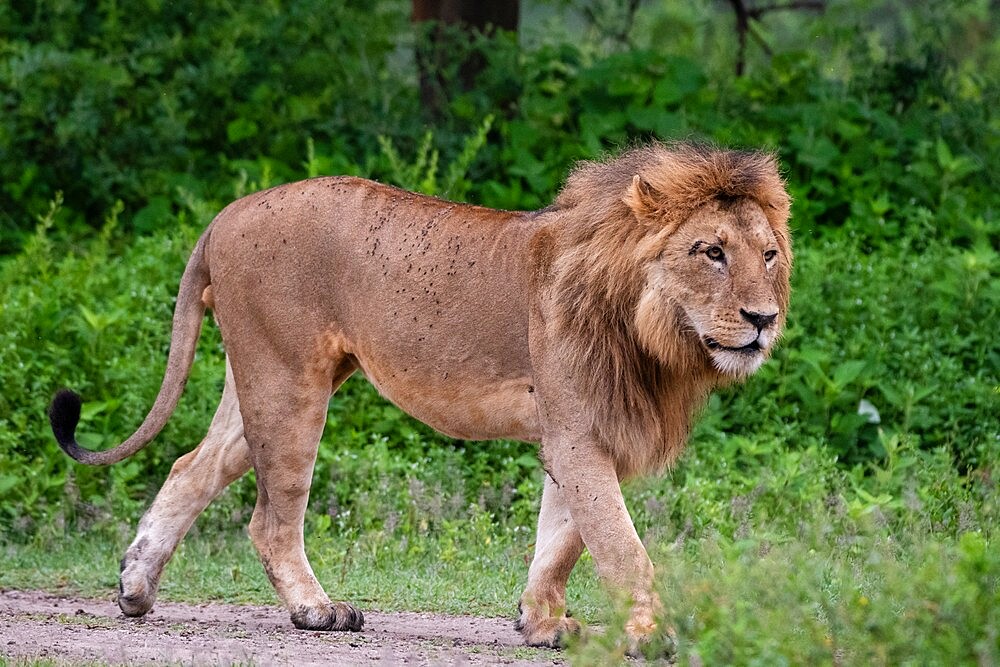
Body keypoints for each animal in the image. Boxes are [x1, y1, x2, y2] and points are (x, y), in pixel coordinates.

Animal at [50, 141, 792, 648]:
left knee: (191, 467)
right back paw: (316, 609)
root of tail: (224, 214)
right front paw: (653, 633)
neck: (655, 331)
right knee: (269, 517)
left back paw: (135, 587)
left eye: (769, 255)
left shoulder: (579, 432)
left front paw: (542, 622)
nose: (763, 319)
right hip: (289, 383)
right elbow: (618, 542)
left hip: (262, 376)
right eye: (711, 252)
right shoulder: (580, 433)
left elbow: (562, 539)